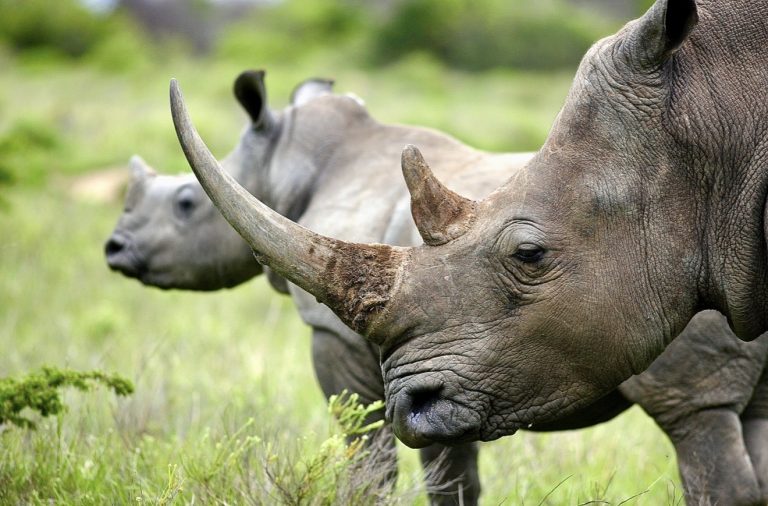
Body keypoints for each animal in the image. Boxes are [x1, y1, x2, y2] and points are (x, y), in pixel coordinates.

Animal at [170, 0, 768, 502]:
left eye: (529, 254)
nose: (411, 403)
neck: (722, 114)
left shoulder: (332, 341)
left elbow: (367, 448)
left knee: (694, 414)